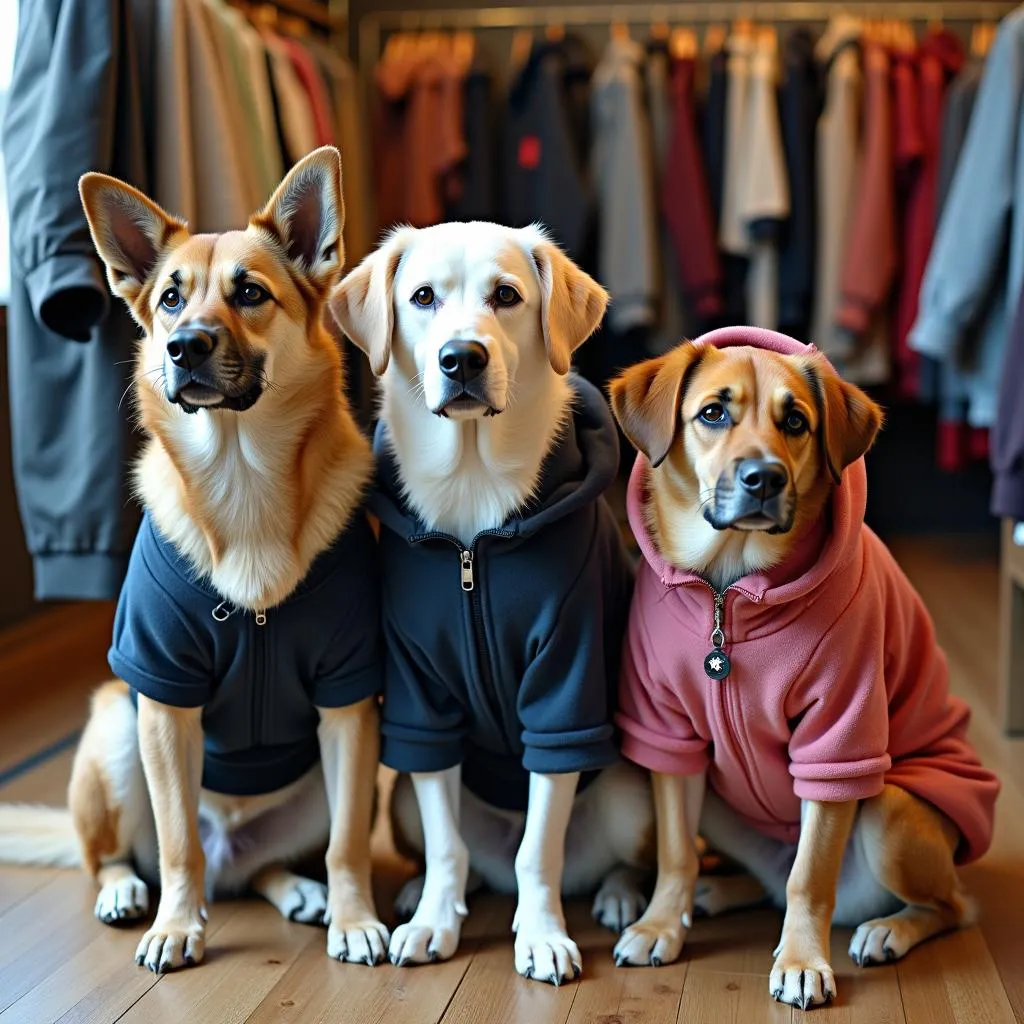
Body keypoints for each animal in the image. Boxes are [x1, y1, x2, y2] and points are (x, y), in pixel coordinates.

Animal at [0, 148, 387, 970]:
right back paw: (127, 890)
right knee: (133, 855)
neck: (241, 475)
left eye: (250, 293)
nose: (185, 348)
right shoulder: (163, 698)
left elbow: (346, 845)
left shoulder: (348, 708)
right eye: (172, 300)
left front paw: (354, 917)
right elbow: (179, 845)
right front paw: (177, 925)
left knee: (254, 869)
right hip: (118, 729)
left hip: (309, 786)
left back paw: (294, 889)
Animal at [333, 224, 655, 983]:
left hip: (630, 801)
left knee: (595, 858)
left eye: (506, 296)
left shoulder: (565, 689)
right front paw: (431, 921)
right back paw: (424, 893)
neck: (472, 509)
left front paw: (540, 936)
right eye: (422, 297)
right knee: (463, 855)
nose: (461, 358)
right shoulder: (421, 699)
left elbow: (539, 849)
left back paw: (620, 897)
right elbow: (448, 844)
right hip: (400, 798)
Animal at [602, 331, 995, 1011]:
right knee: (764, 877)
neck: (729, 588)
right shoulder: (668, 736)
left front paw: (802, 961)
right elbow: (677, 854)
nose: (764, 478)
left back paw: (888, 930)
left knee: (952, 906)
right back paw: (717, 890)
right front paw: (660, 924)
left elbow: (808, 879)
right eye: (713, 413)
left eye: (796, 423)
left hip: (891, 812)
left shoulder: (836, 747)